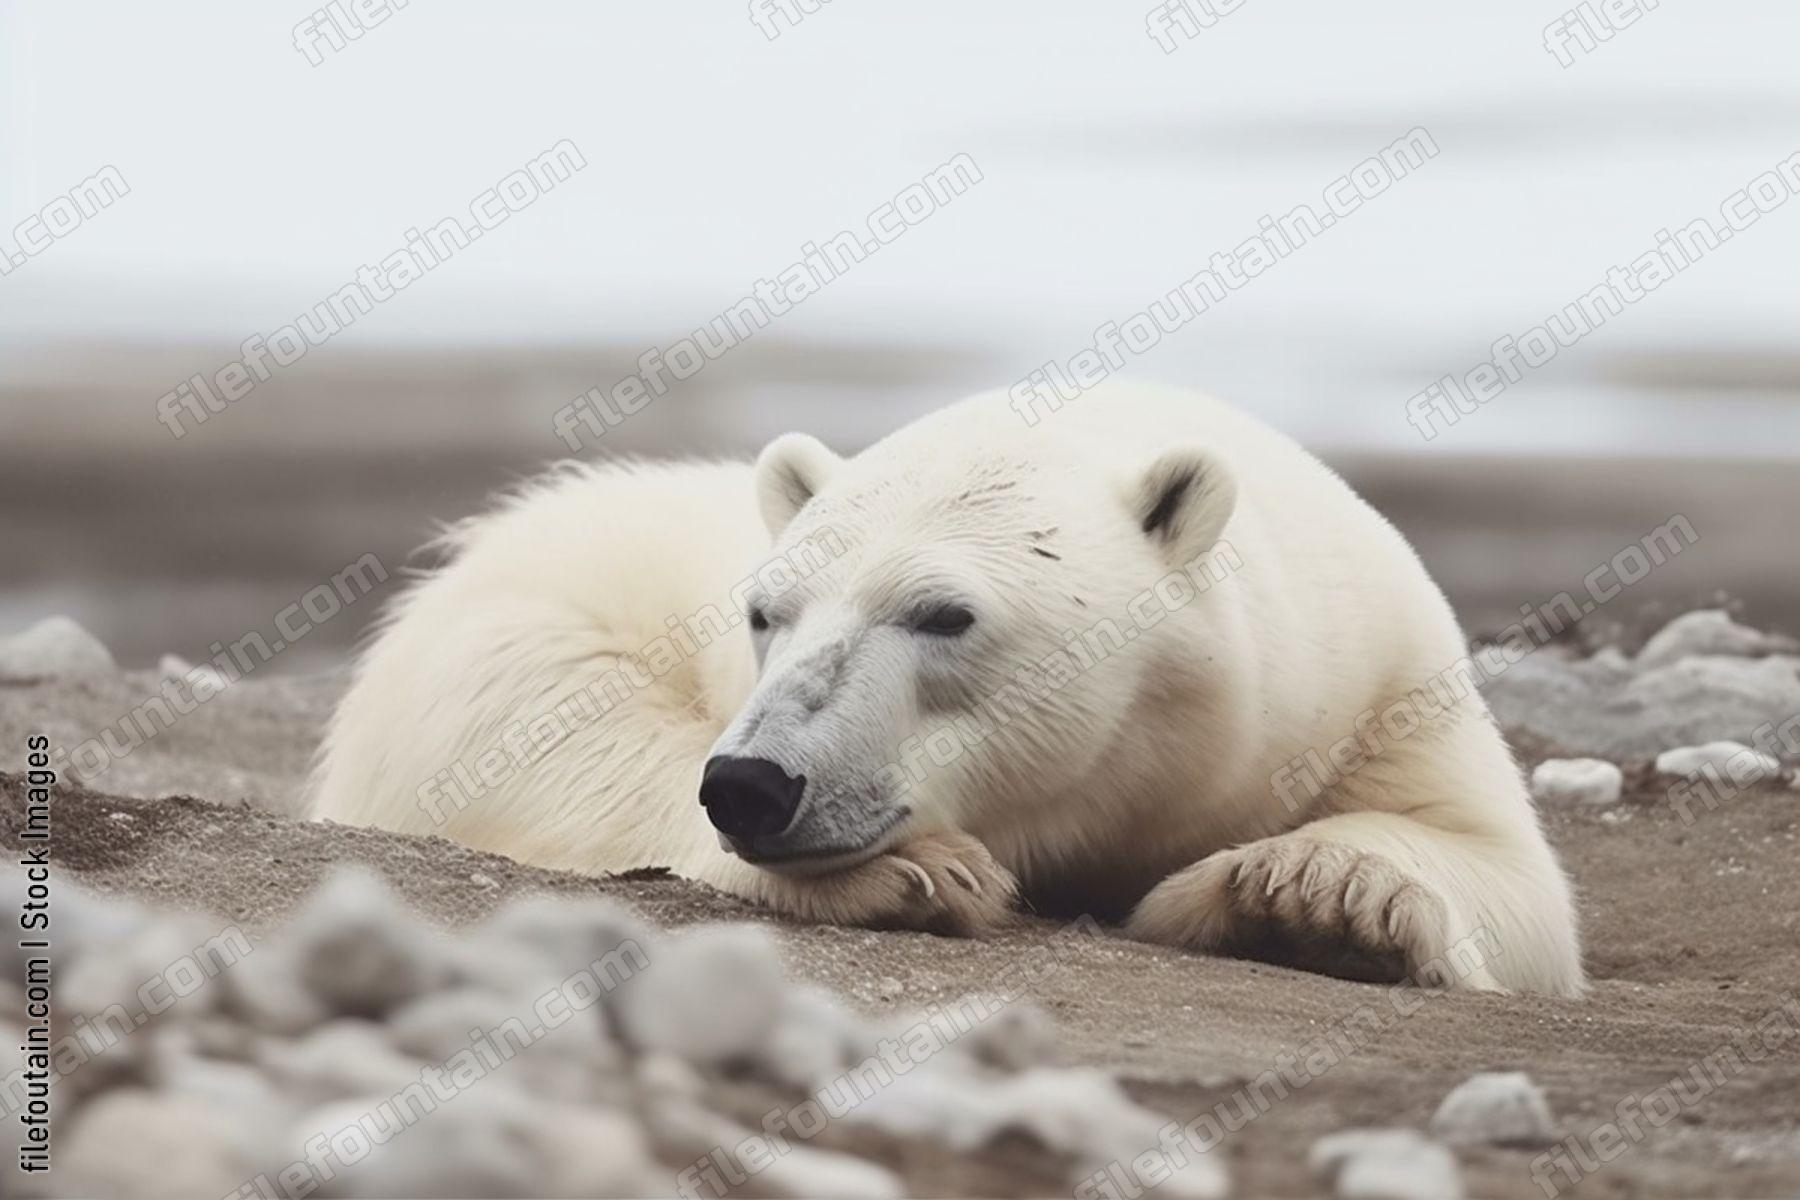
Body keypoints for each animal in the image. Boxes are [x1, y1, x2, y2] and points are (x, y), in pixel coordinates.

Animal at [310, 381, 1584, 996]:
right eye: (764, 611)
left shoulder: (1374, 678)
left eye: (942, 614)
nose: (757, 783)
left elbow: (1500, 870)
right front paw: (918, 869)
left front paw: (1317, 899)